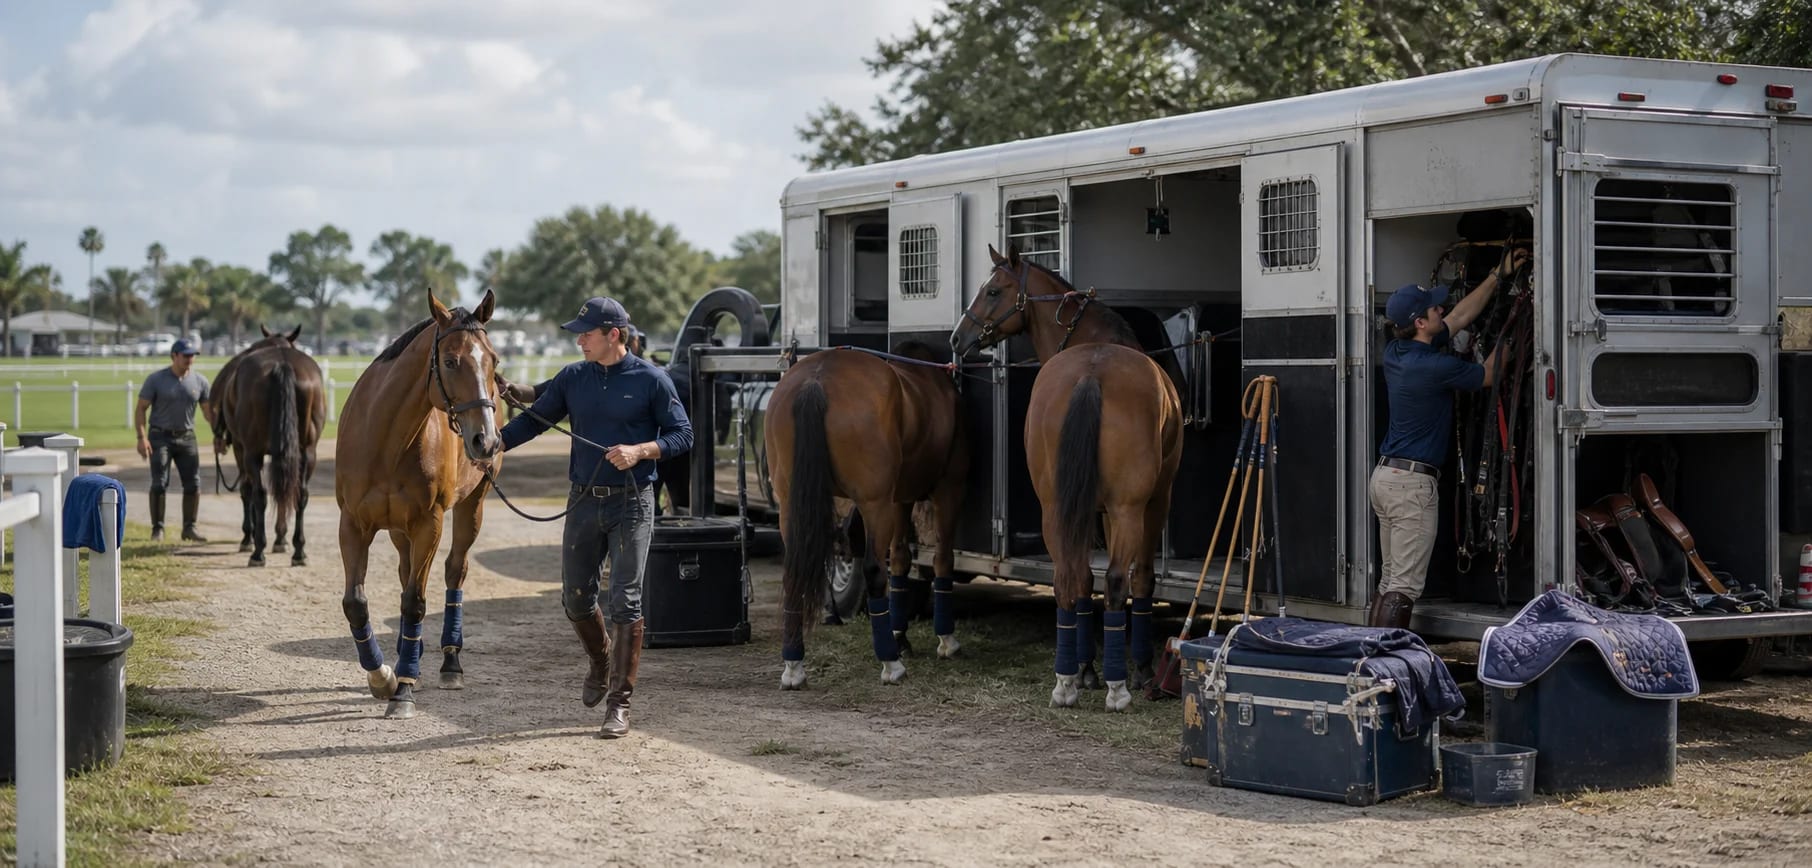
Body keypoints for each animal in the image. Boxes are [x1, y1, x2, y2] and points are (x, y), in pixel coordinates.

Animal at [220, 336, 327, 568]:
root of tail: (282, 363)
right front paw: (281, 539)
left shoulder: (242, 450)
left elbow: (248, 491)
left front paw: (249, 539)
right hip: (307, 452)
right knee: (300, 494)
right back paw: (299, 552)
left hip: (252, 453)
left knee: (259, 494)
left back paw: (258, 552)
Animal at [334, 291, 504, 720]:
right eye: (450, 361)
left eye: (493, 360)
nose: (486, 440)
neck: (385, 442)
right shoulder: (353, 525)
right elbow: (356, 603)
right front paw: (382, 676)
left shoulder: (430, 524)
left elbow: (415, 602)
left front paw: (403, 688)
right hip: (397, 529)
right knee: (403, 571)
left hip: (471, 507)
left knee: (454, 572)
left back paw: (448, 662)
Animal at [765, 339, 968, 690]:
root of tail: (815, 380)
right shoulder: (947, 490)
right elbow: (942, 559)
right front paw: (945, 640)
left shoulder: (900, 497)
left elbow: (900, 559)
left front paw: (901, 634)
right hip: (874, 504)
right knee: (874, 570)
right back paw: (890, 663)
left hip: (792, 503)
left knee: (794, 571)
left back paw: (793, 667)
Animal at [949, 245, 1183, 711]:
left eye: (993, 290)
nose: (957, 338)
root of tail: (1092, 373)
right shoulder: (1151, 501)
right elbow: (1140, 579)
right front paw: (1140, 670)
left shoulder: (1089, 508)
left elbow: (1083, 582)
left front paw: (1085, 670)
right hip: (1128, 510)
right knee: (1116, 580)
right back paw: (1118, 687)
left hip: (1055, 508)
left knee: (1067, 578)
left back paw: (1067, 680)